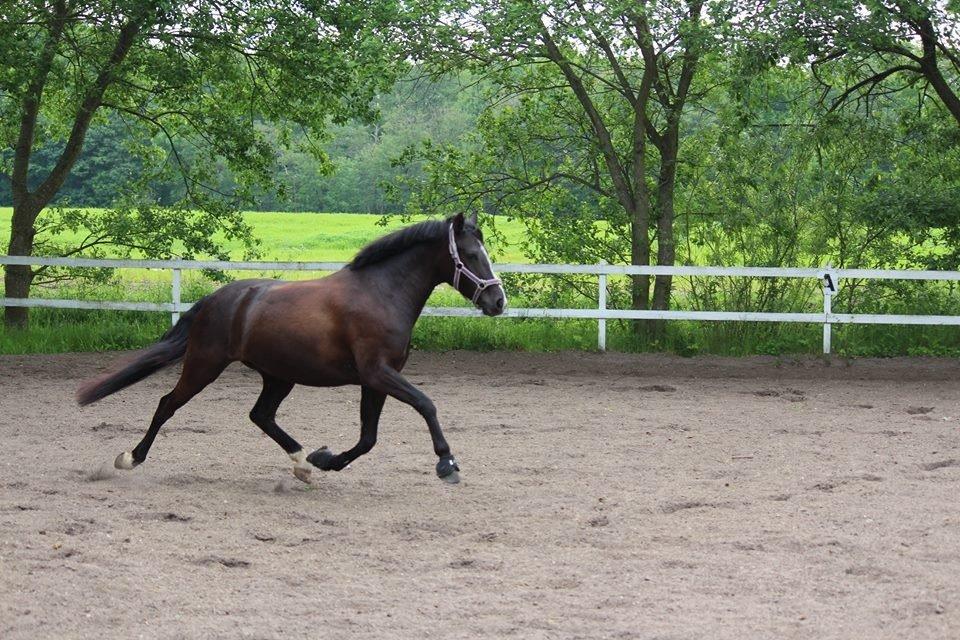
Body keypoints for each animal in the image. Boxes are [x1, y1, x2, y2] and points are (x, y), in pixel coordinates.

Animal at [76, 212, 506, 484]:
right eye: (471, 255)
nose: (498, 301)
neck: (380, 294)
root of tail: (217, 299)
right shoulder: (378, 373)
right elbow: (425, 404)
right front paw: (447, 463)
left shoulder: (376, 379)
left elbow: (368, 438)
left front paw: (325, 459)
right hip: (204, 364)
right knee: (168, 404)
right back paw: (130, 458)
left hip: (278, 375)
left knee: (261, 415)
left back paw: (302, 463)